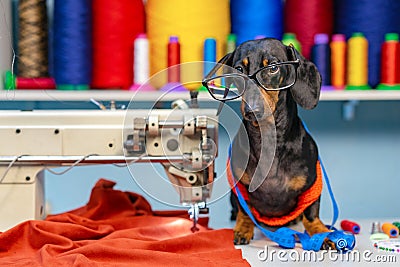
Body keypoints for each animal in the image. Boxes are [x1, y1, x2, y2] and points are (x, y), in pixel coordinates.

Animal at [205, 38, 332, 250]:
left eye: (273, 67)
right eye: (239, 69)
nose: (252, 110)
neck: (270, 140)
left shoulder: (313, 184)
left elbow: (311, 212)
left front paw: (320, 233)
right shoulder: (239, 186)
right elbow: (245, 210)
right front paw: (243, 228)